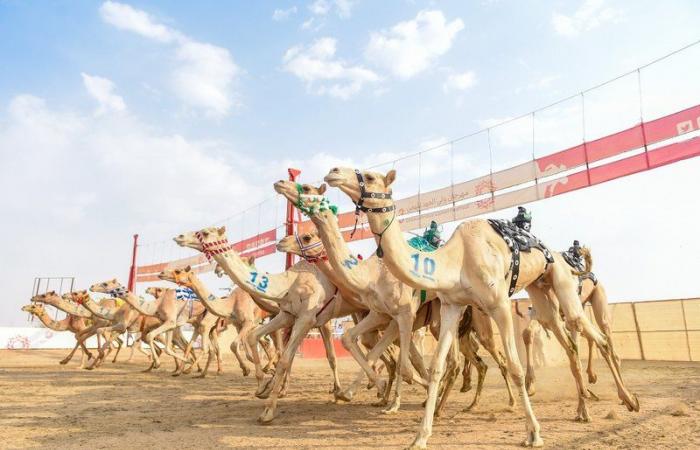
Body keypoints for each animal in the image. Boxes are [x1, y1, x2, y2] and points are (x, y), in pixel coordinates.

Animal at [274, 181, 516, 414]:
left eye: (306, 236)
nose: (282, 242)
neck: (371, 276)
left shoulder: (402, 315)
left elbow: (405, 363)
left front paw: (394, 399)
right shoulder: (383, 317)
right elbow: (364, 346)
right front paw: (363, 394)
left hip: (462, 319)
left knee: (473, 358)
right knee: (470, 359)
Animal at [326, 167, 636, 448]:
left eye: (370, 176)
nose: (333, 172)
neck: (456, 260)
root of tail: (562, 257)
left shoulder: (499, 305)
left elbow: (515, 366)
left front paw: (534, 433)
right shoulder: (451, 306)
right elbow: (436, 367)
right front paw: (420, 437)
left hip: (561, 283)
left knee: (595, 334)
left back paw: (629, 400)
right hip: (541, 293)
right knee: (569, 344)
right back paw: (583, 410)